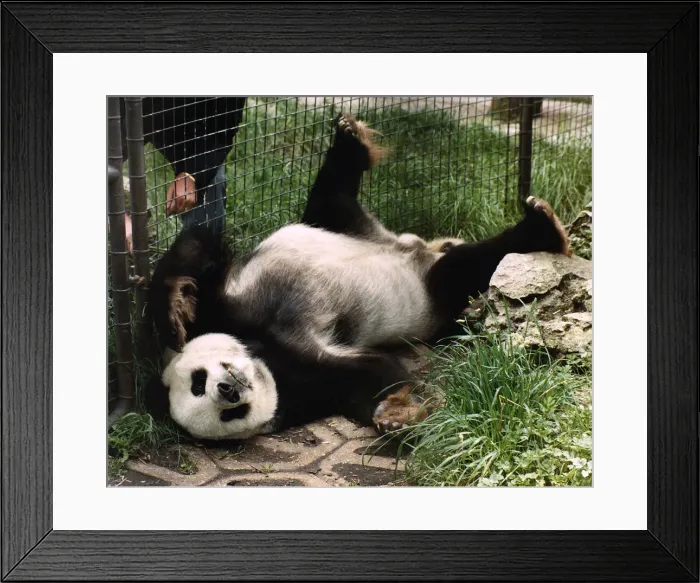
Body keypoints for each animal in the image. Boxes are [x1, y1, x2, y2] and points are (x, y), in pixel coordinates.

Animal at [146, 113, 571, 441]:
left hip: (331, 227)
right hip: (426, 289)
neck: (267, 357)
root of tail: (397, 242)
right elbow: (375, 374)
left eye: (198, 379)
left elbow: (196, 249)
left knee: (328, 198)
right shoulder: (310, 383)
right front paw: (395, 416)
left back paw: (350, 137)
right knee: (460, 270)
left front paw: (175, 309)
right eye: (225, 414)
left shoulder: (227, 309)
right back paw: (538, 232)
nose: (228, 390)